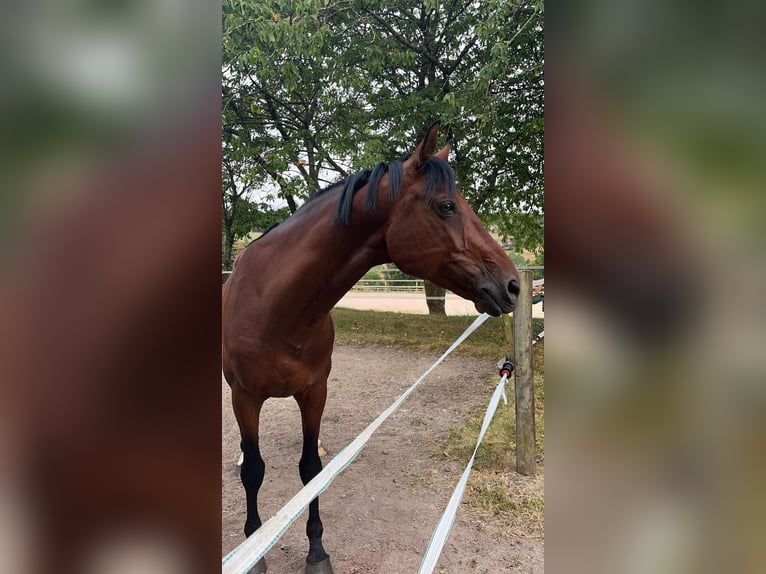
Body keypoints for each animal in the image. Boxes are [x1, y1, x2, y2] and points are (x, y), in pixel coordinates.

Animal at [222, 122, 520, 574]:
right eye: (446, 206)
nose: (513, 285)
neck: (276, 307)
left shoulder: (315, 392)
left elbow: (312, 471)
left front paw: (317, 551)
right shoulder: (245, 397)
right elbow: (254, 471)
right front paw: (253, 551)